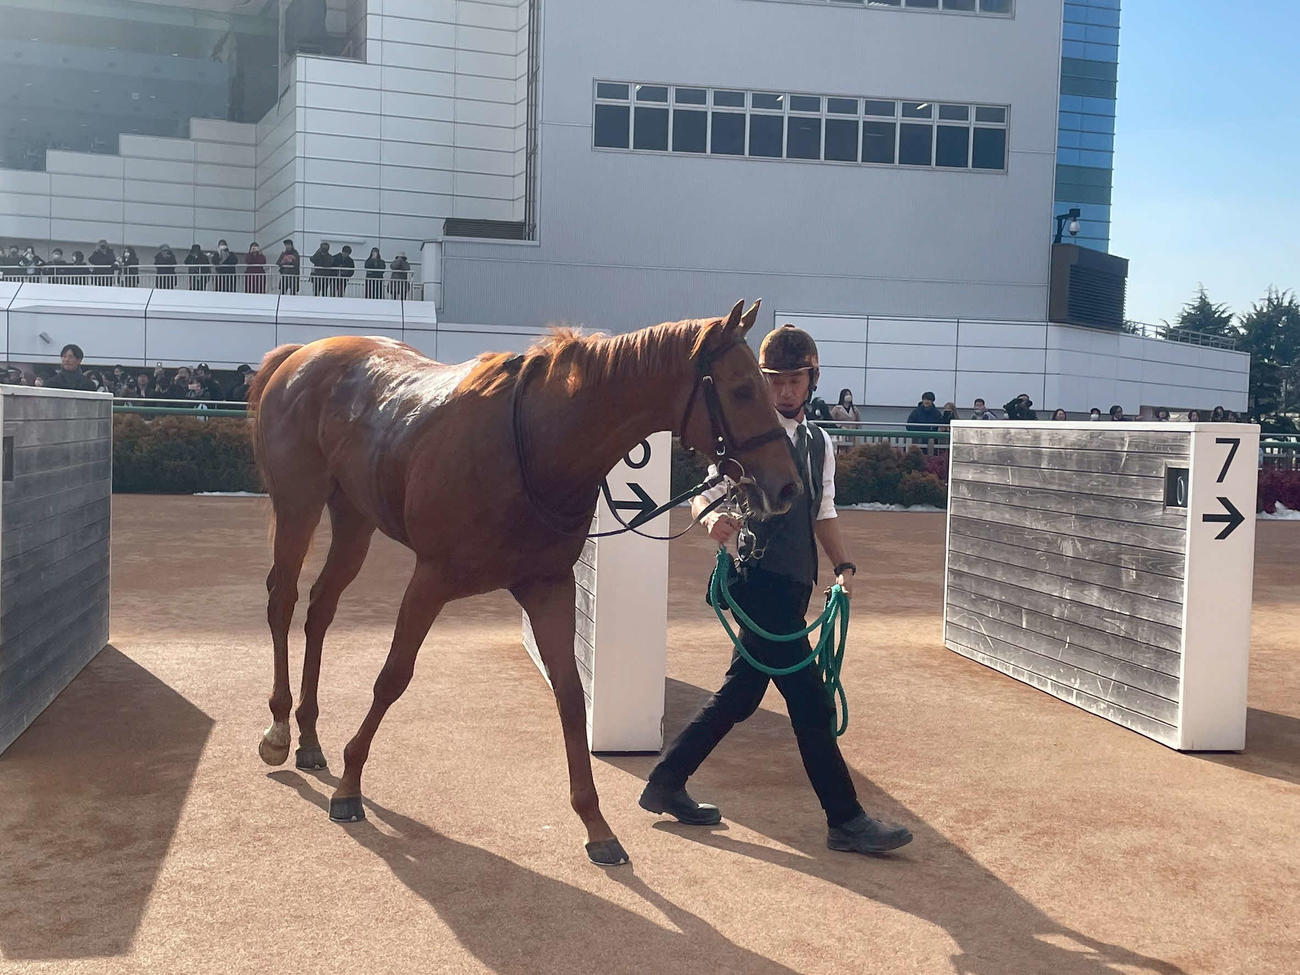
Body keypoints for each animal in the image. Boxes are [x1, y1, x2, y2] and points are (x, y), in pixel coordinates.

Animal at [247, 299, 801, 865]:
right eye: (742, 389)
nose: (787, 486)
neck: (532, 446)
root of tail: (303, 353)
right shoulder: (431, 578)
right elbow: (392, 677)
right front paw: (350, 784)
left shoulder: (547, 586)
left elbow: (571, 696)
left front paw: (595, 822)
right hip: (299, 504)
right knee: (283, 600)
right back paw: (279, 730)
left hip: (355, 517)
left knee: (321, 607)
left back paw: (309, 737)